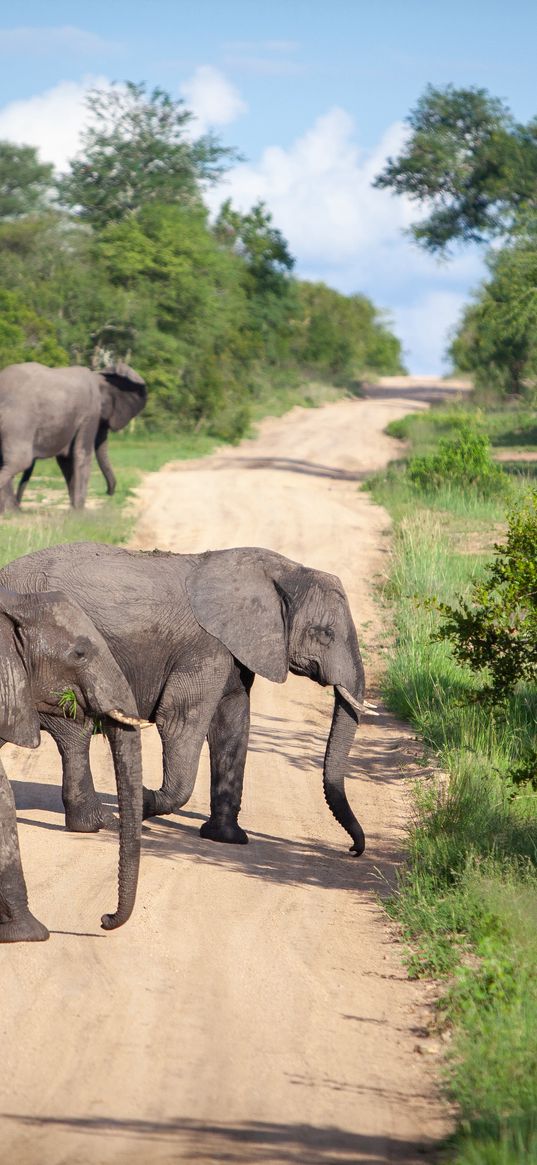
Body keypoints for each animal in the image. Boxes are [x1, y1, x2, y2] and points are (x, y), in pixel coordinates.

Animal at [0, 358, 146, 510]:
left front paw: (73, 510)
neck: (99, 376)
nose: (109, 493)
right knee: (20, 462)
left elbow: (66, 460)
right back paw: (12, 511)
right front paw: (80, 512)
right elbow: (82, 454)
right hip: (19, 420)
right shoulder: (90, 412)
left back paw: (11, 511)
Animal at [0, 542, 372, 857]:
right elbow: (180, 721)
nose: (352, 850)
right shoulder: (205, 648)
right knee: (73, 732)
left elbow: (232, 724)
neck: (282, 572)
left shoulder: (233, 652)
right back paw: (100, 821)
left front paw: (226, 838)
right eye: (325, 634)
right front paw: (142, 802)